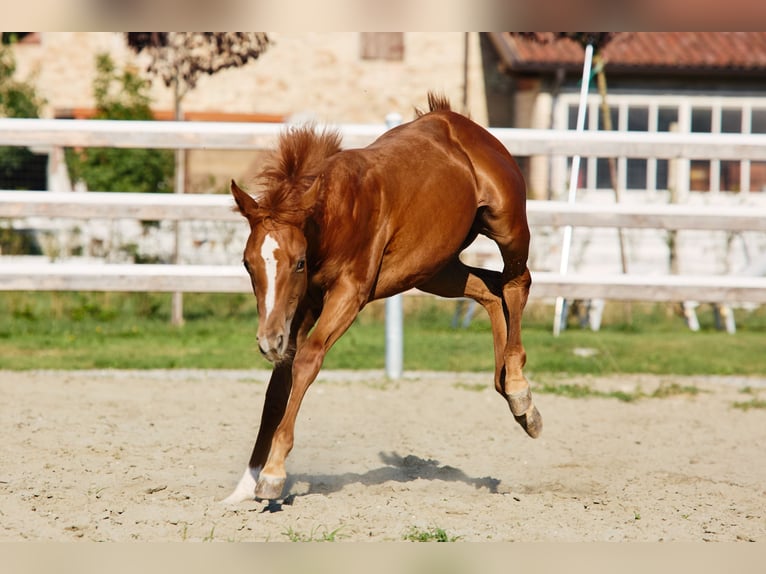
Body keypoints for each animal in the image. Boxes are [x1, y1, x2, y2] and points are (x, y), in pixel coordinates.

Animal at [224, 93, 541, 503]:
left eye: (298, 263)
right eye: (247, 263)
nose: (267, 340)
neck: (335, 213)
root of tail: (463, 125)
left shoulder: (348, 294)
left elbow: (307, 361)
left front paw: (275, 472)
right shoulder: (301, 306)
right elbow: (278, 386)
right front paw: (245, 486)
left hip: (508, 228)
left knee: (516, 283)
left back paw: (518, 390)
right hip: (434, 270)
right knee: (490, 289)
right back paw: (509, 388)